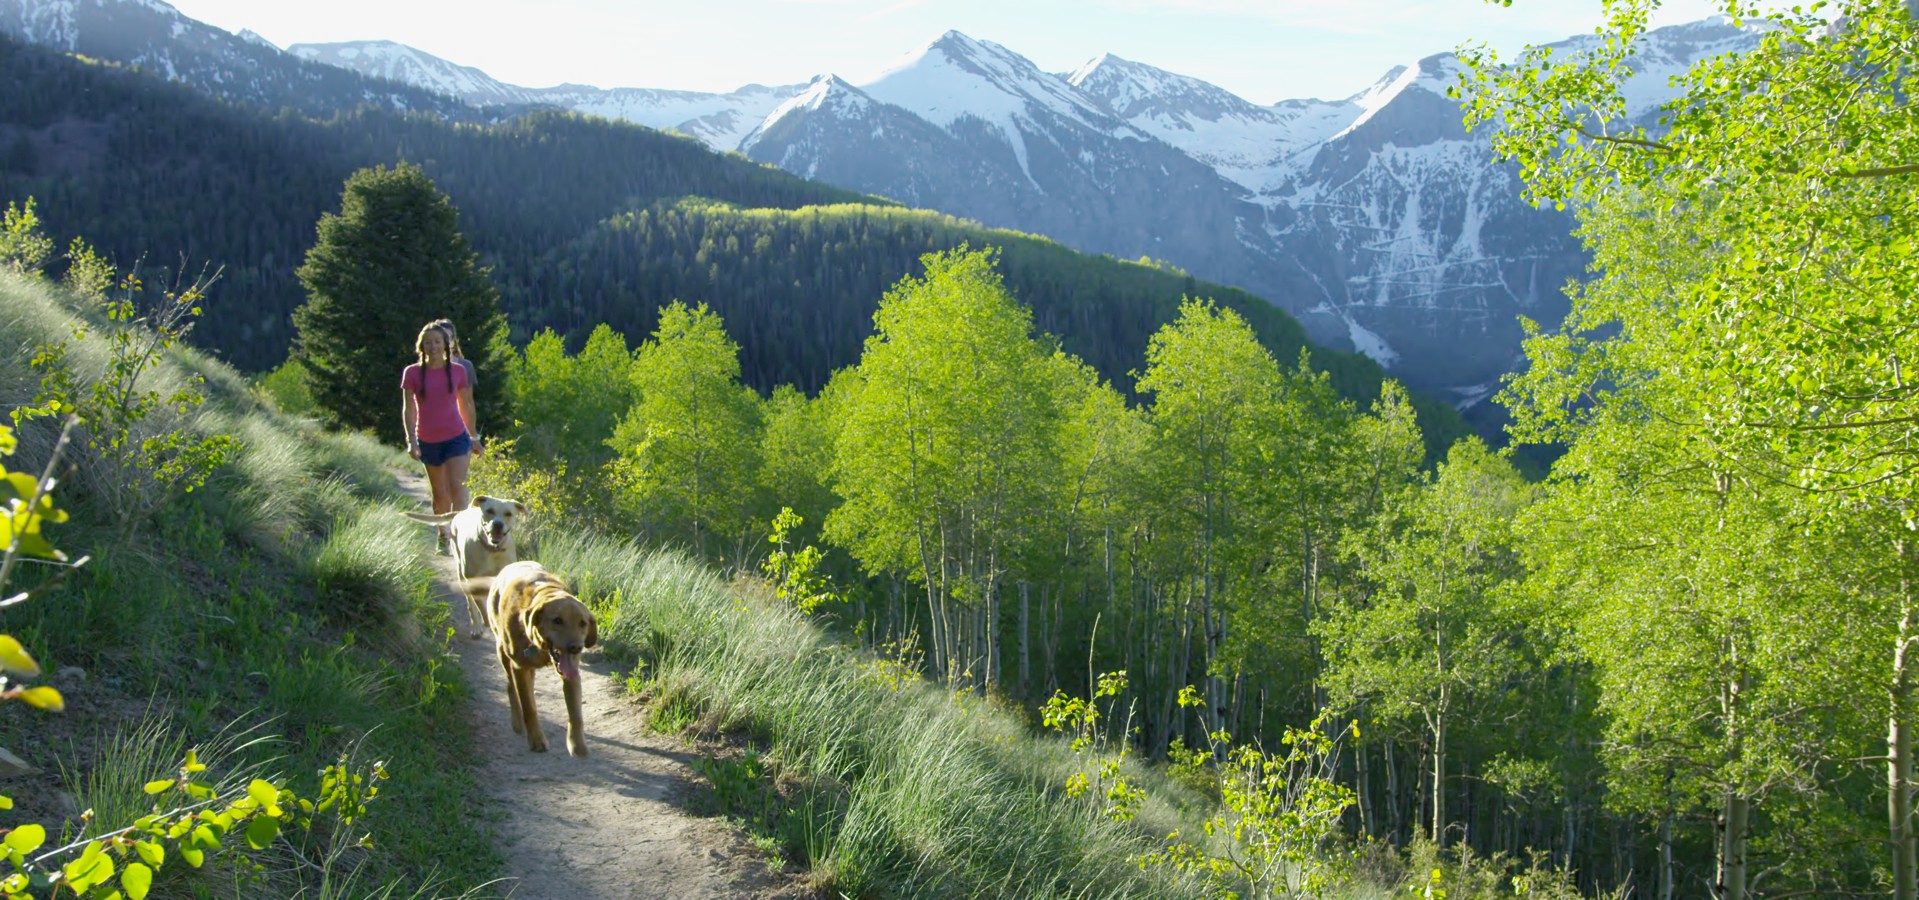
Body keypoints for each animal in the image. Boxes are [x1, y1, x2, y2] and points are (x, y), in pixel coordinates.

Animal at [402, 498, 525, 637]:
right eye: (489, 511)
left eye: (508, 513)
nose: (498, 524)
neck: (491, 550)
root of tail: (460, 512)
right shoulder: (473, 581)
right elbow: (481, 607)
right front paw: (487, 621)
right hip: (461, 574)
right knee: (471, 604)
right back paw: (476, 627)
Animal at [487, 556, 591, 756]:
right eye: (557, 620)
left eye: (582, 623)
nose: (576, 647)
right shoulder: (519, 667)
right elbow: (529, 707)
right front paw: (536, 739)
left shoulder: (571, 673)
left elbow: (576, 713)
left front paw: (577, 745)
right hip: (503, 652)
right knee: (512, 687)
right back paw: (517, 721)